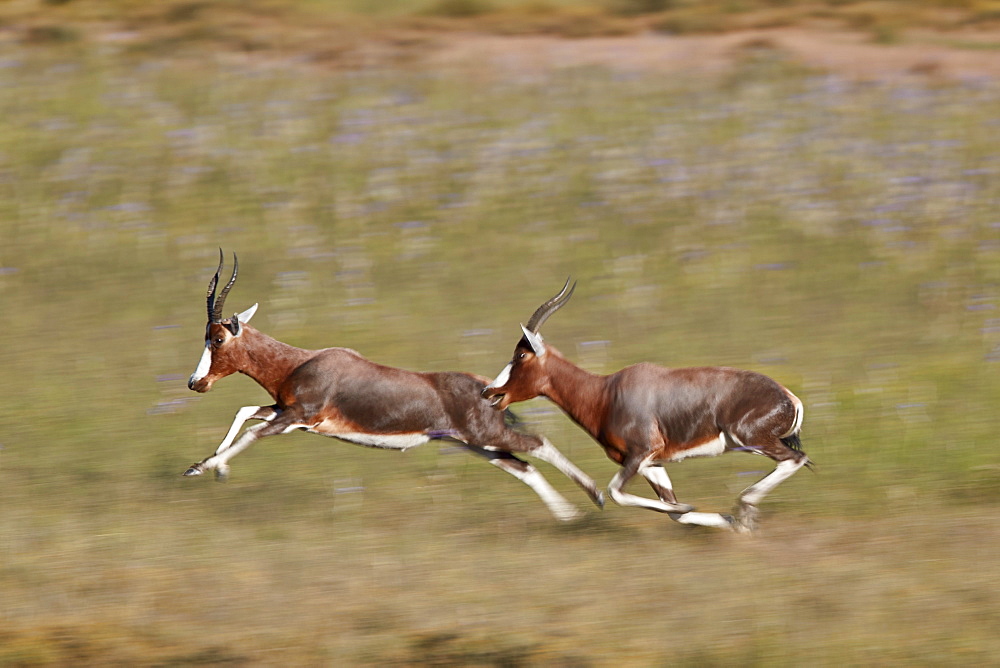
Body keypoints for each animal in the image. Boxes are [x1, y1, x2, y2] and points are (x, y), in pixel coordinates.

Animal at [182, 252, 600, 520]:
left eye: (217, 338)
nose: (195, 382)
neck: (301, 362)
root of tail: (488, 388)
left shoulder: (297, 416)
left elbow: (253, 433)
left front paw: (206, 467)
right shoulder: (287, 413)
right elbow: (245, 413)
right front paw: (208, 468)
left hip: (485, 435)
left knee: (539, 443)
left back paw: (595, 495)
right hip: (474, 444)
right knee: (522, 466)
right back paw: (569, 514)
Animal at [480, 278, 808, 532]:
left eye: (521, 355)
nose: (488, 391)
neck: (606, 392)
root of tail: (788, 397)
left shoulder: (641, 453)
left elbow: (615, 493)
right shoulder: (652, 463)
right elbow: (674, 512)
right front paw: (721, 519)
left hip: (750, 439)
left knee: (795, 459)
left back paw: (745, 509)